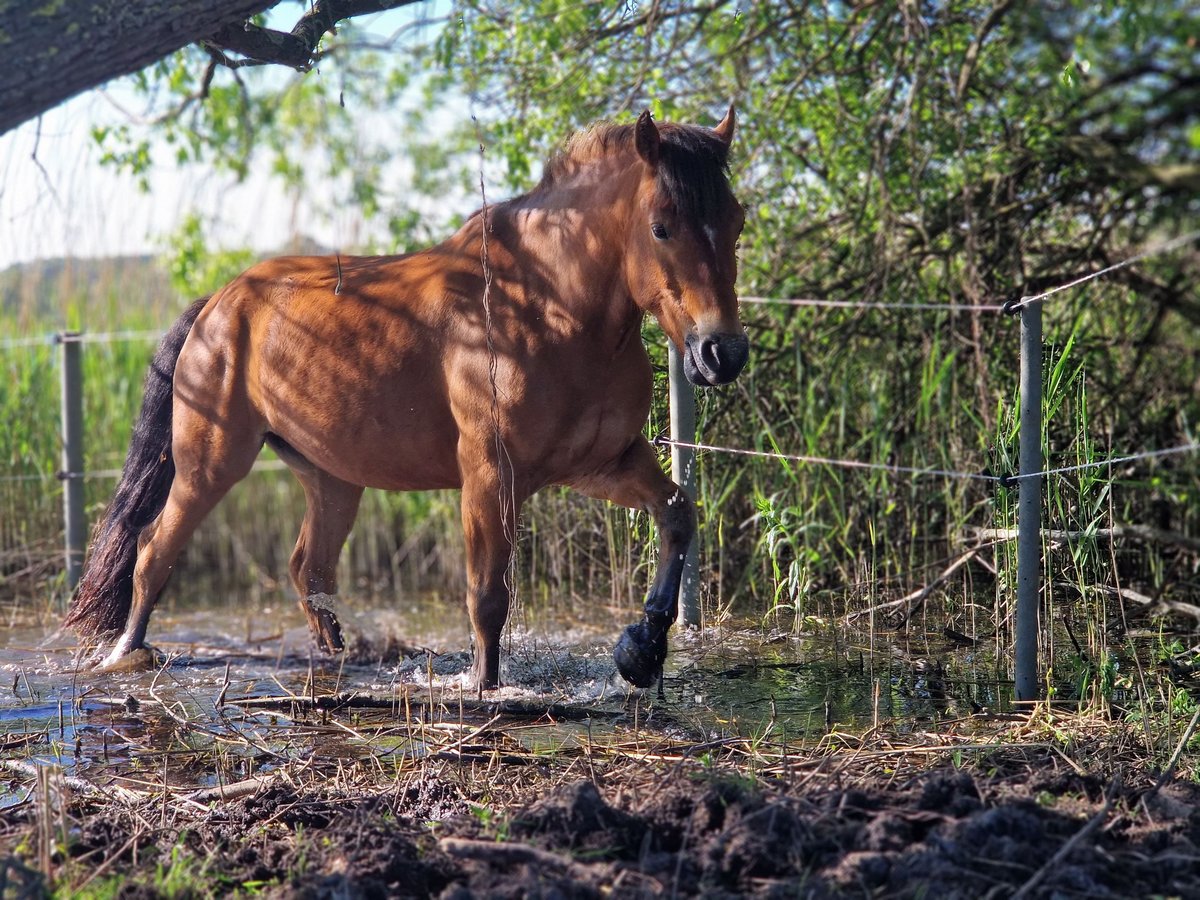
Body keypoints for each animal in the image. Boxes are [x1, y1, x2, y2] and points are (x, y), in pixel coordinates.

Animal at [65, 109, 748, 696]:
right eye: (661, 225)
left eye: (737, 221)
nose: (722, 353)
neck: (546, 305)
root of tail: (219, 303)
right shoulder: (490, 475)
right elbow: (487, 594)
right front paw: (484, 687)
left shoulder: (602, 463)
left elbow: (678, 514)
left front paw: (643, 649)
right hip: (209, 467)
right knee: (153, 552)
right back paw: (126, 655)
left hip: (333, 480)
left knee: (308, 568)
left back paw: (335, 656)